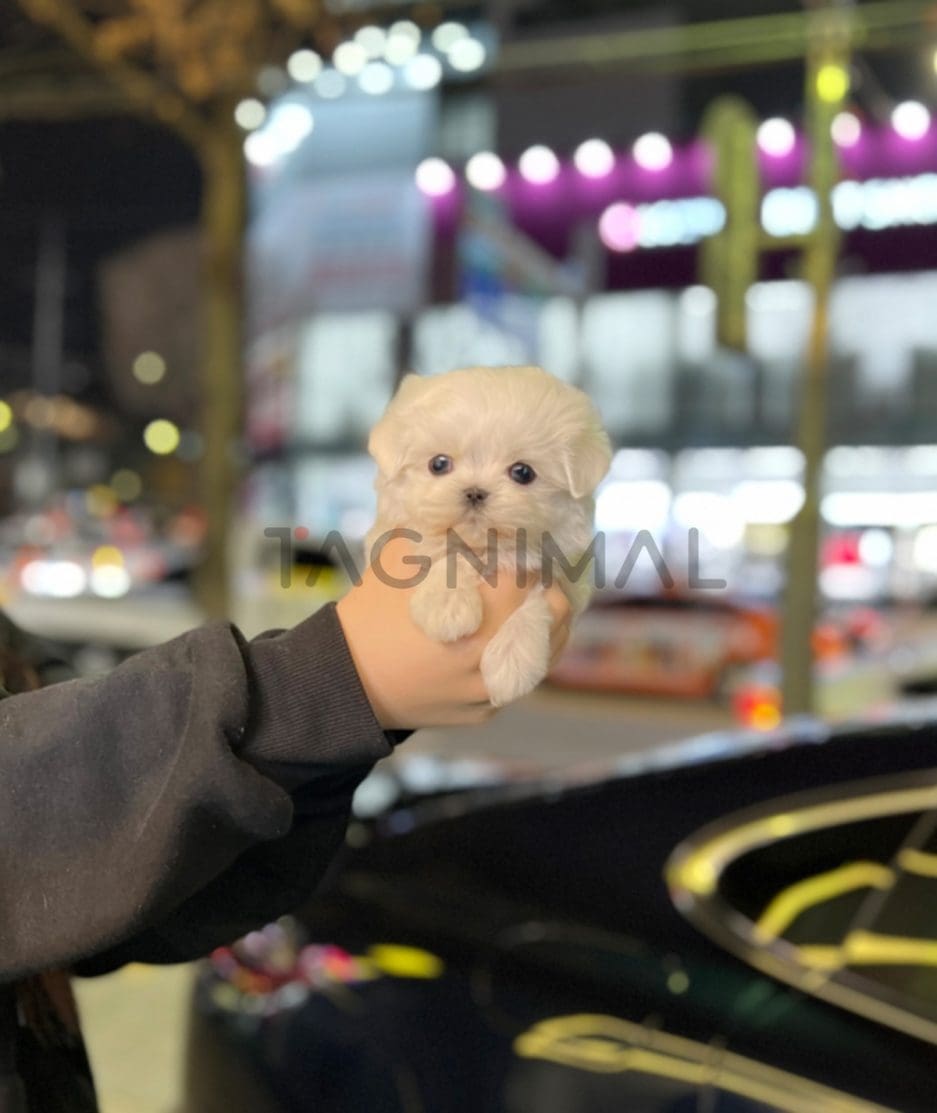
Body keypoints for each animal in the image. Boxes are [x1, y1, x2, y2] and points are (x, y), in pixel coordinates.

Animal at [360, 369, 609, 707]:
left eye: (523, 472)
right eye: (438, 464)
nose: (475, 492)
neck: (490, 547)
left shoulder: (567, 577)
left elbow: (538, 598)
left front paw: (512, 665)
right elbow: (444, 547)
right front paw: (447, 605)